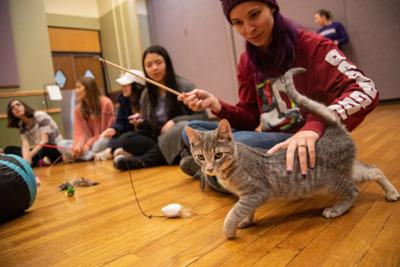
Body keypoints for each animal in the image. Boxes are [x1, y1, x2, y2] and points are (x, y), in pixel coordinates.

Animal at [186, 68, 398, 240]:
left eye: (218, 155)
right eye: (201, 157)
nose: (209, 169)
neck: (230, 169)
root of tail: (334, 128)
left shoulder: (256, 192)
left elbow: (235, 212)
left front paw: (230, 230)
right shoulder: (247, 196)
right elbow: (245, 211)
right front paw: (246, 221)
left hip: (331, 181)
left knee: (353, 190)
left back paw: (336, 209)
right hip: (348, 170)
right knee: (374, 170)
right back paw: (392, 193)